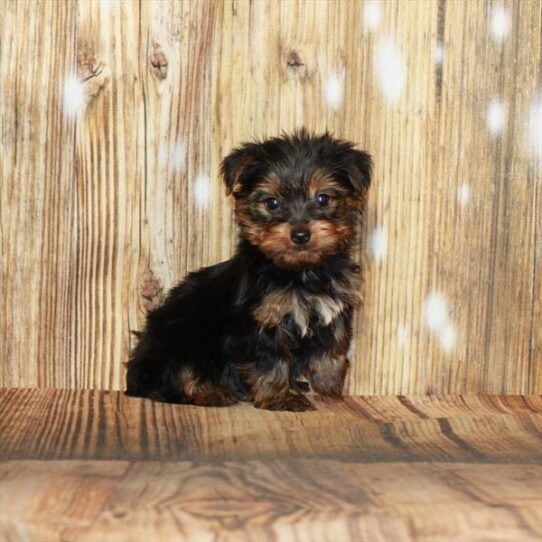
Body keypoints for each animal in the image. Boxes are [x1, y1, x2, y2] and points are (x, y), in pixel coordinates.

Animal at [126, 132, 374, 412]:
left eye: (323, 199)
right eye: (272, 203)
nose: (300, 234)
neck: (301, 272)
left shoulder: (335, 309)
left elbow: (332, 352)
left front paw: (329, 393)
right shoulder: (261, 320)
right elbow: (271, 361)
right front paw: (280, 397)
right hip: (181, 334)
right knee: (177, 374)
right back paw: (210, 392)